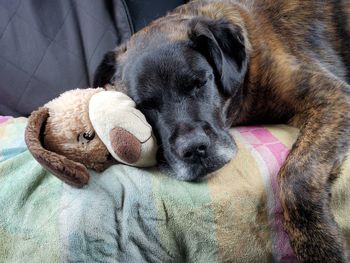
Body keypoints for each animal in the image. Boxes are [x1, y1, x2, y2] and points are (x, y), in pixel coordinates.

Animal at [93, 1, 350, 262]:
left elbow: (296, 175)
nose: (194, 149)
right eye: (144, 105)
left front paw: (320, 245)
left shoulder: (332, 97)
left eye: (200, 83)